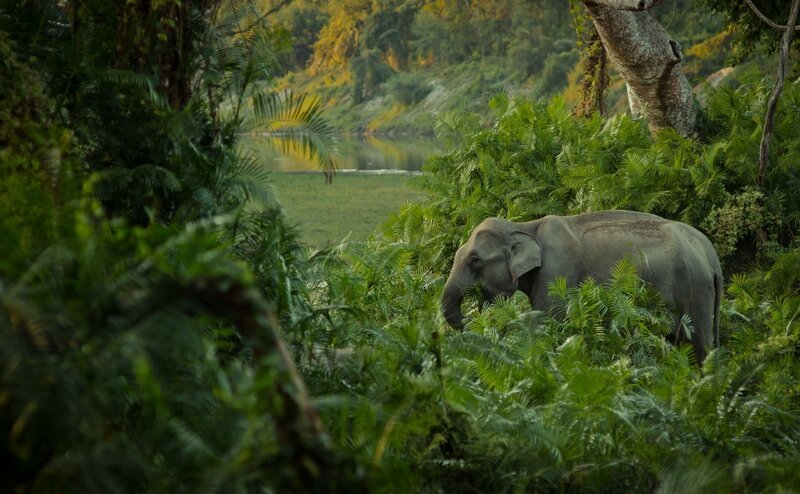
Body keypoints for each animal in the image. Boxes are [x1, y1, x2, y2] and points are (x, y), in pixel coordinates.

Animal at [441, 210, 722, 363]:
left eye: (474, 260)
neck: (524, 226)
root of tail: (711, 254)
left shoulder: (557, 272)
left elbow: (549, 322)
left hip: (696, 291)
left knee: (697, 347)